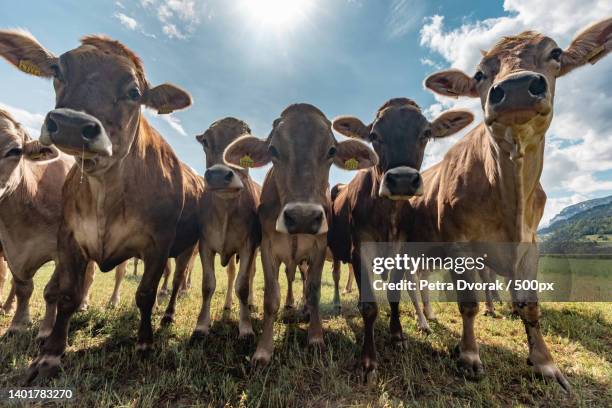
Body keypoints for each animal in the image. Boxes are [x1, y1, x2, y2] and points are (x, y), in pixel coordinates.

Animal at [0, 31, 203, 382]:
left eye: (134, 92)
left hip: (187, 248)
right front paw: (50, 354)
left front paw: (145, 343)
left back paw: (167, 315)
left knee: (176, 281)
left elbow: (146, 294)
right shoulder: (68, 238)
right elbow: (66, 294)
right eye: (58, 70)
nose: (70, 124)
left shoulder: (159, 242)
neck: (106, 190)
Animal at [190, 117, 260, 338]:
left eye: (245, 145)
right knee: (230, 274)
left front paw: (246, 327)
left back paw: (251, 304)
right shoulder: (204, 243)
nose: (219, 175)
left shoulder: (249, 245)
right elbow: (208, 284)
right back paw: (228, 305)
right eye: (206, 141)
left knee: (251, 274)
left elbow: (243, 285)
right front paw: (201, 326)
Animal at [225, 103, 378, 364]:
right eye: (273, 149)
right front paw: (263, 350)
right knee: (289, 279)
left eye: (331, 150)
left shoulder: (318, 248)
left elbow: (314, 291)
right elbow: (271, 298)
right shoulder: (268, 249)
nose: (303, 217)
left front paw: (315, 338)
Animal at [330, 98, 474, 380]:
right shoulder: (359, 249)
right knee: (335, 275)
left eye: (426, 133)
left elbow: (394, 294)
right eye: (374, 136)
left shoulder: (401, 251)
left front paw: (397, 335)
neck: (388, 214)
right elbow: (369, 306)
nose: (403, 180)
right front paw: (368, 360)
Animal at [414, 17, 608, 390]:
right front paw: (469, 356)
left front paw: (545, 363)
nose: (517, 87)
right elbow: (469, 304)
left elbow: (529, 304)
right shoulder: (460, 245)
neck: (510, 197)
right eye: (479, 74)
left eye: (555, 53)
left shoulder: (531, 243)